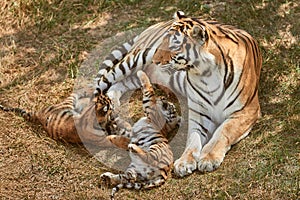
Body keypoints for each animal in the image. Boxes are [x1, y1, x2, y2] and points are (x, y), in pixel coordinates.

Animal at [95, 11, 262, 177]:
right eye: (163, 42)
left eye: (173, 46)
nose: (154, 60)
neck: (207, 74)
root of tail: (158, 23)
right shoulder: (199, 113)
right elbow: (193, 138)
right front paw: (184, 162)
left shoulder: (247, 111)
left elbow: (223, 132)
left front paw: (208, 158)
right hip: (133, 60)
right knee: (100, 83)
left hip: (139, 75)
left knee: (119, 84)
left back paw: (114, 106)